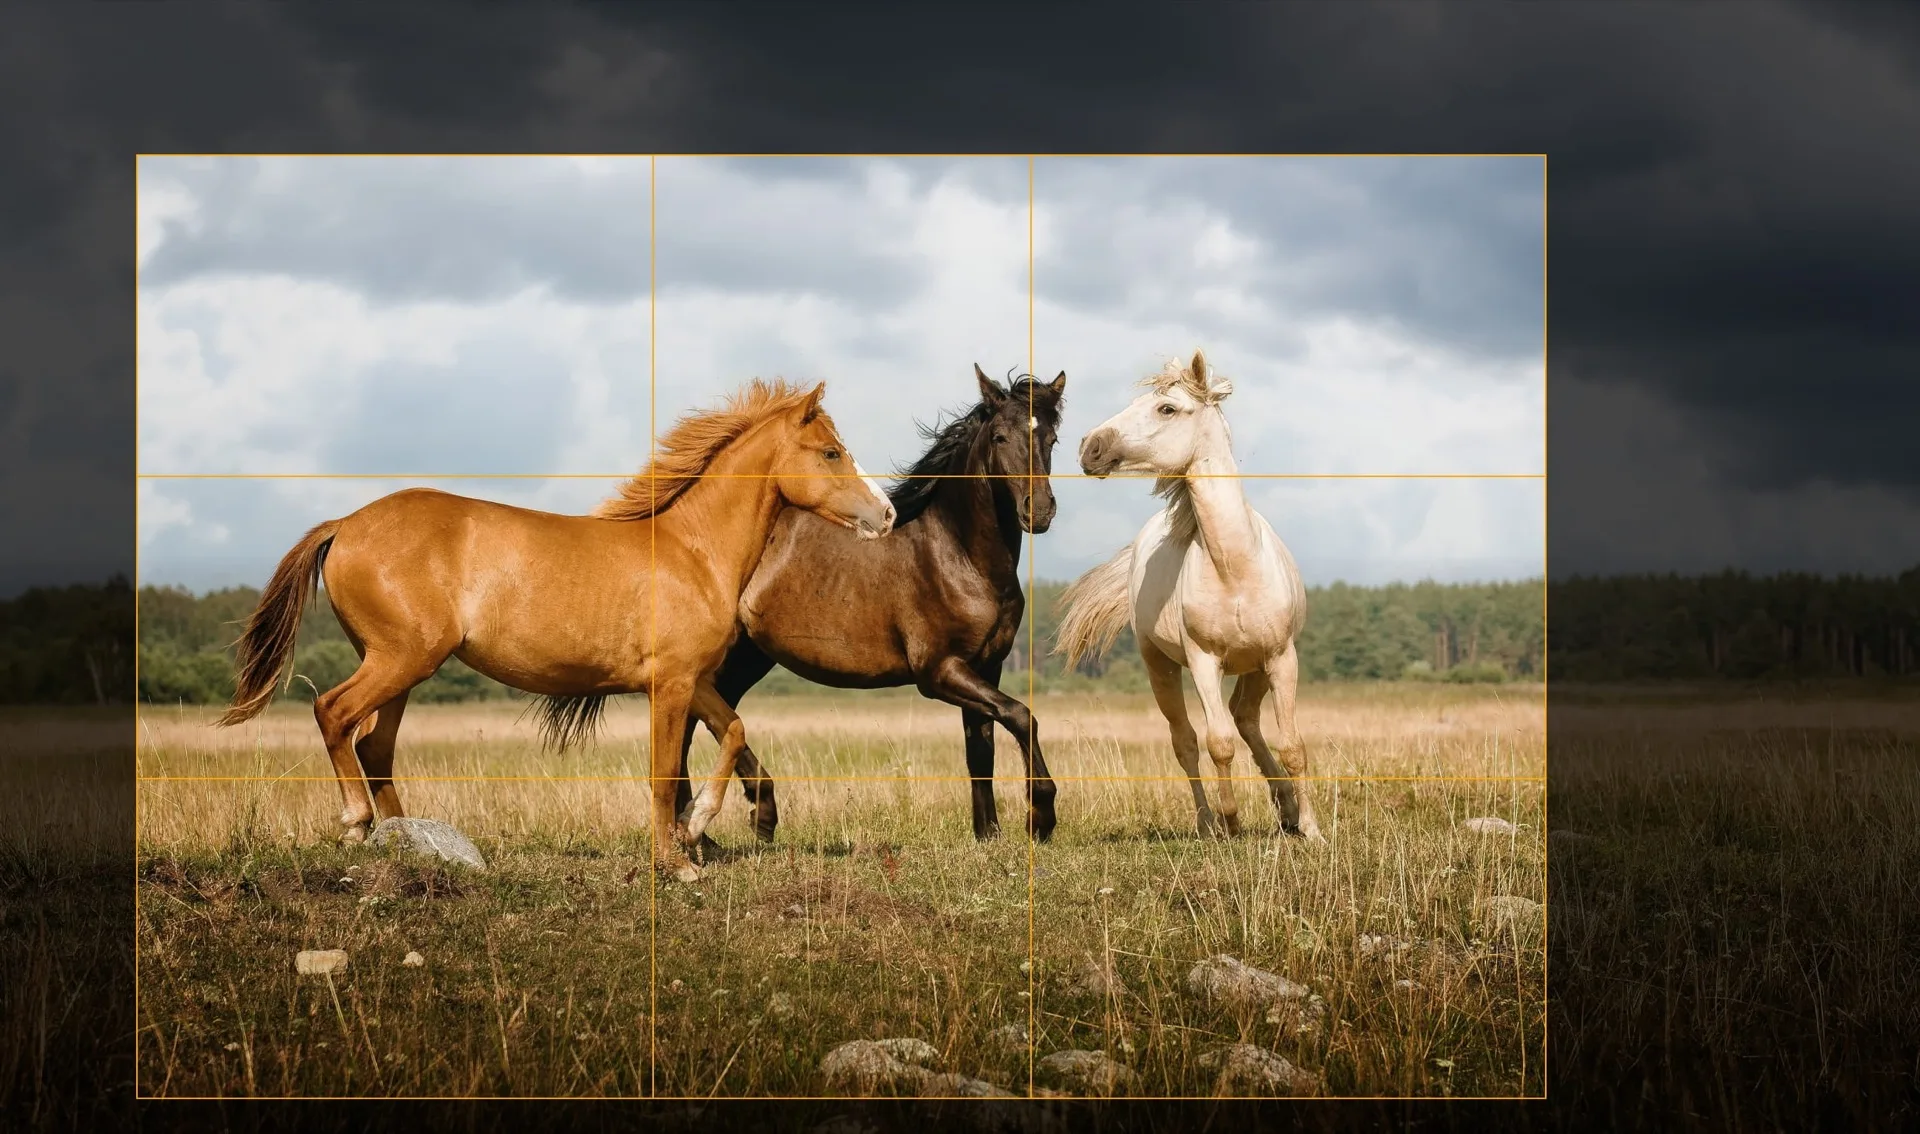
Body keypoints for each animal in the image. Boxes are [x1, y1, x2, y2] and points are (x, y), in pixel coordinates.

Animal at [217, 379, 897, 882]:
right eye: (831, 452)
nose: (886, 514)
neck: (692, 551)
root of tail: (345, 524)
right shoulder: (671, 686)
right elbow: (662, 773)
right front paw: (677, 863)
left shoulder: (692, 680)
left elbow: (733, 731)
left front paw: (699, 825)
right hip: (399, 659)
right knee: (333, 713)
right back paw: (357, 824)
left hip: (401, 669)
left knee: (374, 747)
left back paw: (407, 843)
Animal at [670, 365, 1067, 848]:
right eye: (1000, 437)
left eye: (1051, 438)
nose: (1039, 511)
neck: (958, 555)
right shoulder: (939, 672)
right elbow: (1021, 716)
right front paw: (1040, 818)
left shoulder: (986, 667)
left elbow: (982, 751)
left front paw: (988, 834)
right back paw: (740, 818)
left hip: (749, 657)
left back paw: (704, 830)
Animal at [1054, 350, 1323, 842]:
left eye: (1167, 408)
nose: (1090, 447)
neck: (1235, 567)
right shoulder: (1203, 661)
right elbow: (1218, 743)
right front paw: (1231, 821)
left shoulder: (1281, 657)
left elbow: (1293, 744)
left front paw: (1311, 829)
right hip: (1159, 666)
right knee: (1187, 741)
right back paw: (1208, 822)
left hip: (1256, 666)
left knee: (1246, 718)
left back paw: (1287, 809)